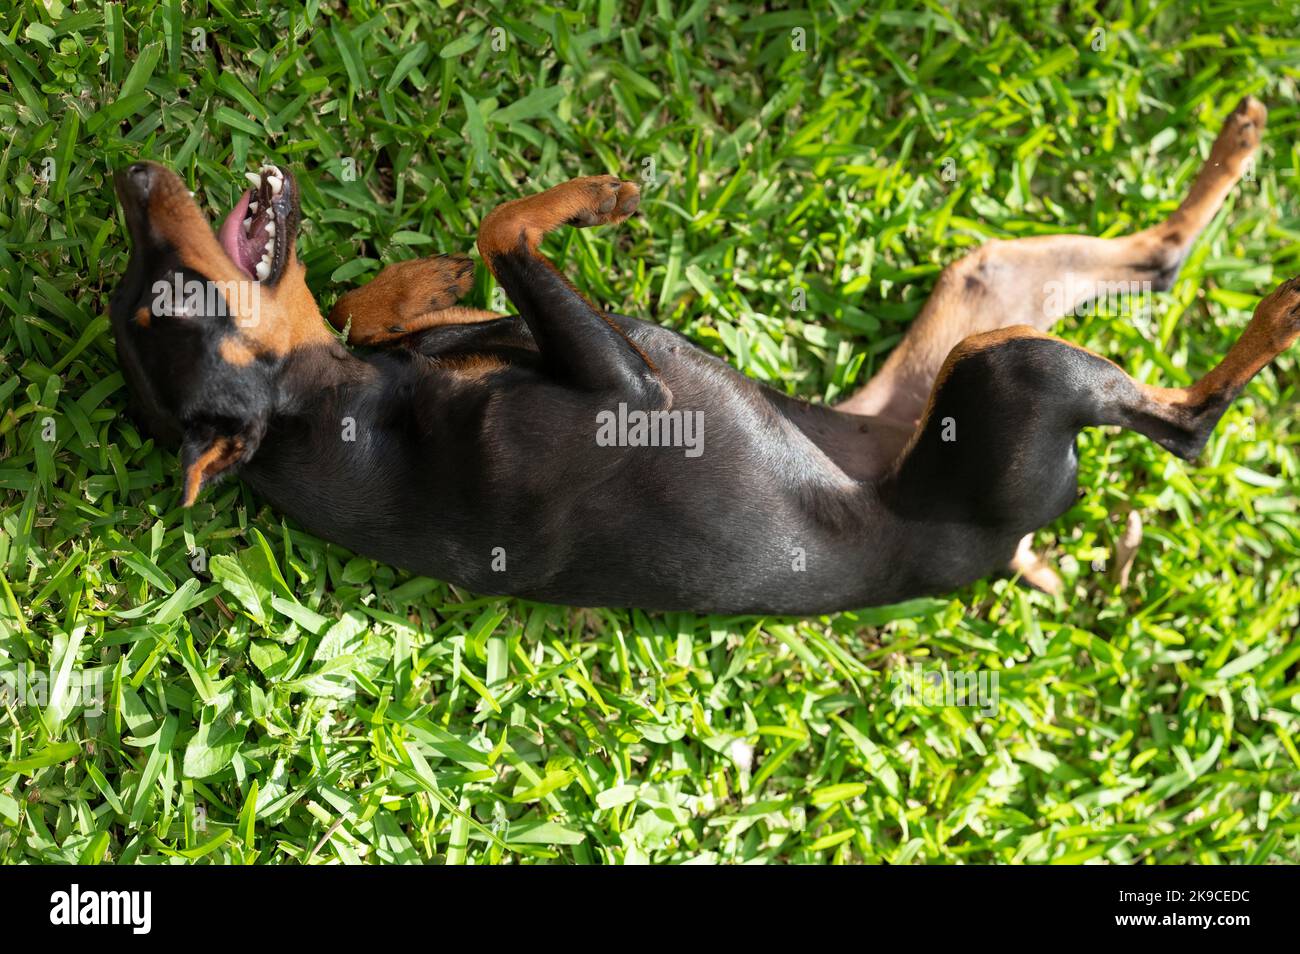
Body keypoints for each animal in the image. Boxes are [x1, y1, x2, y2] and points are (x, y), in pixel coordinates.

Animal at [114, 97, 1300, 616]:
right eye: (167, 297)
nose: (131, 177)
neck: (345, 413)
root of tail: (1005, 553)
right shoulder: (624, 388)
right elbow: (503, 226)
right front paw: (593, 200)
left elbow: (413, 284)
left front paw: (410, 283)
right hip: (1005, 374)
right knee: (1186, 424)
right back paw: (1281, 307)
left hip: (976, 307)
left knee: (1153, 260)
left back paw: (1241, 141)